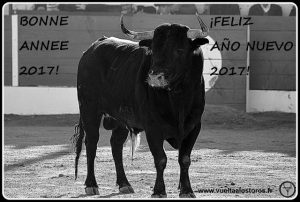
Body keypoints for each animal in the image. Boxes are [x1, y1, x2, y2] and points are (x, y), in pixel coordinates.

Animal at [72, 15, 210, 198]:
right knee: (92, 143)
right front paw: (159, 191)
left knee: (116, 145)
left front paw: (187, 190)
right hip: (89, 109)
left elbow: (185, 159)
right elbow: (160, 159)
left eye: (179, 50)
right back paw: (91, 185)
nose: (154, 77)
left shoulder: (194, 126)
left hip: (121, 119)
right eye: (153, 51)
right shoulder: (153, 128)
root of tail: (93, 48)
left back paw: (124, 184)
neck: (177, 98)